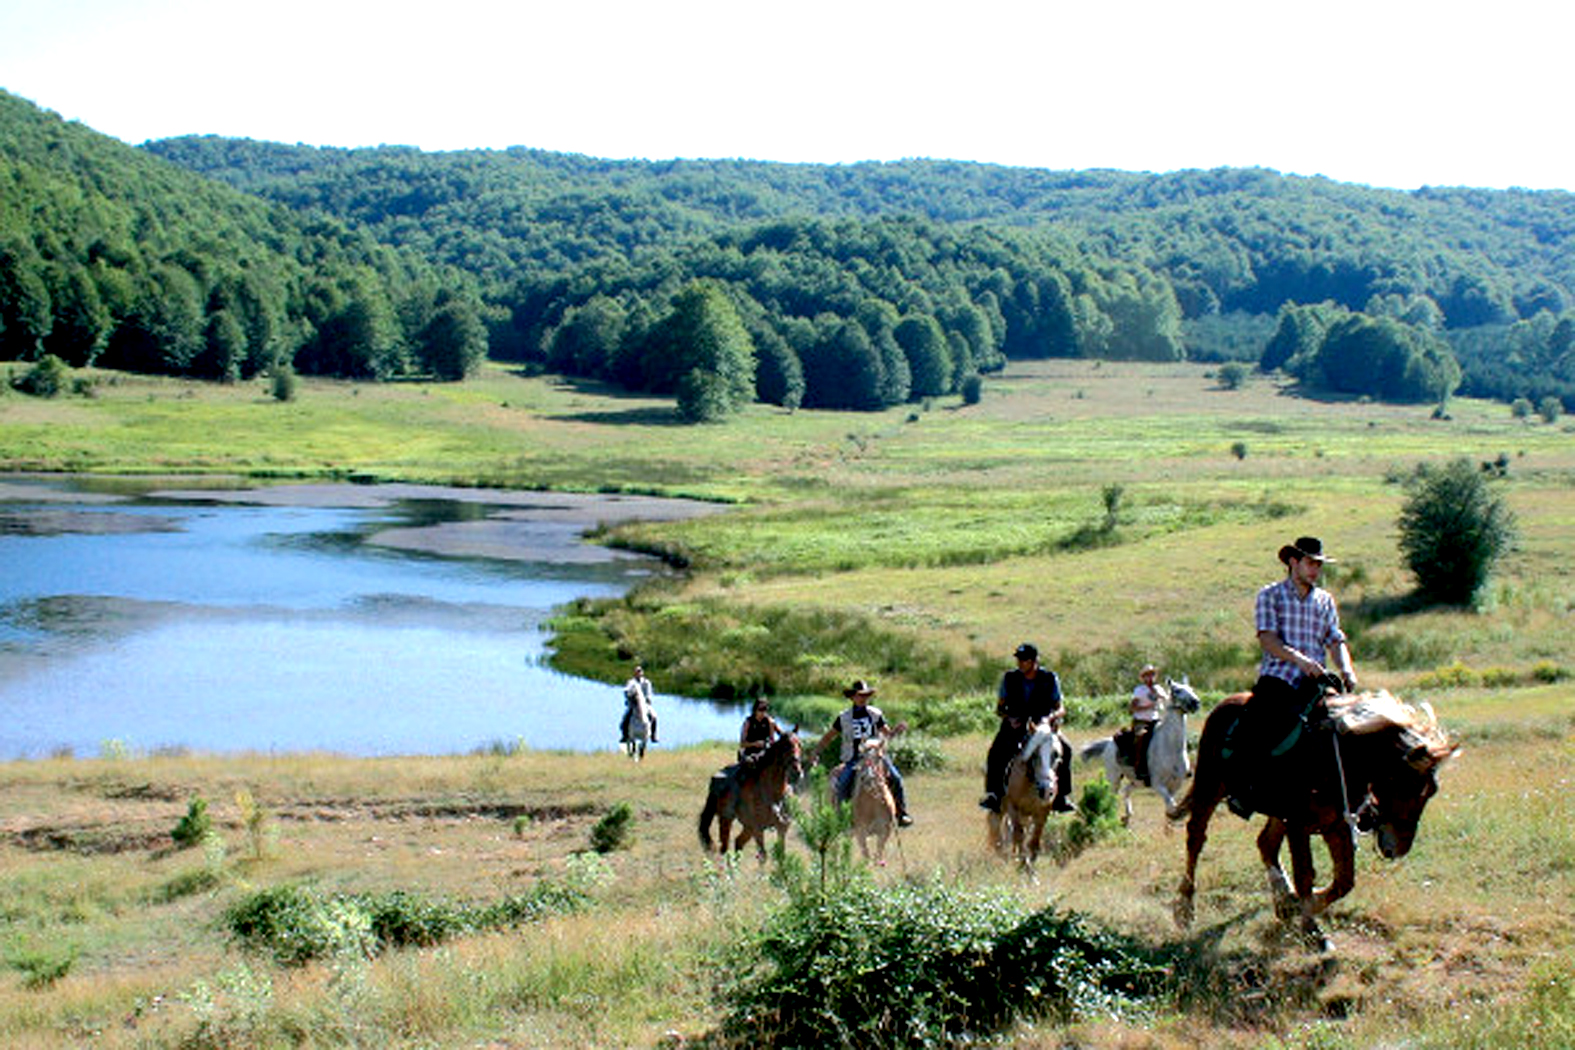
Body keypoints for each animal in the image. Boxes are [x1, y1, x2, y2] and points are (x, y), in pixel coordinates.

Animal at [699, 727, 800, 856]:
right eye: (785, 745)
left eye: (800, 744)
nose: (797, 771)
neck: (774, 793)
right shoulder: (758, 828)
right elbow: (763, 855)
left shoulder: (782, 828)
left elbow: (780, 854)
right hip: (727, 819)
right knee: (725, 847)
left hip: (747, 827)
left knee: (738, 842)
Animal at [850, 736, 900, 868]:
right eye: (862, 756)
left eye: (880, 757)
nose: (869, 779)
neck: (872, 804)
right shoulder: (861, 832)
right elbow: (866, 854)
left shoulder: (885, 830)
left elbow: (879, 851)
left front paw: (880, 863)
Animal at [989, 717, 1064, 875]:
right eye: (1034, 754)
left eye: (1055, 754)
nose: (1046, 790)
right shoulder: (1013, 807)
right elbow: (1018, 834)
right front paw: (1025, 867)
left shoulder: (1043, 810)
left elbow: (1035, 838)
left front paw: (1031, 864)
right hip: (1001, 809)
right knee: (997, 827)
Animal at [1077, 676, 1197, 824]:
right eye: (1177, 690)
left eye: (1191, 689)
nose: (1196, 703)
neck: (1171, 748)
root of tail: (1109, 742)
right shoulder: (1157, 784)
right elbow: (1170, 804)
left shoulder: (1176, 783)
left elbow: (1171, 804)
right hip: (1114, 777)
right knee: (1111, 795)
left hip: (1136, 781)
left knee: (1126, 790)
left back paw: (1128, 815)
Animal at [1178, 689, 1455, 950]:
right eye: (1407, 786)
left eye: (1431, 791)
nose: (1398, 849)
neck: (1337, 760)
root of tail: (1225, 704)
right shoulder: (1298, 825)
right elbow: (1305, 875)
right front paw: (1312, 929)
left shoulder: (1337, 825)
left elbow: (1344, 881)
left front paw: (1305, 906)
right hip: (1209, 787)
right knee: (1196, 838)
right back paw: (1185, 907)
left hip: (1276, 813)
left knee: (1266, 843)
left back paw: (1284, 900)